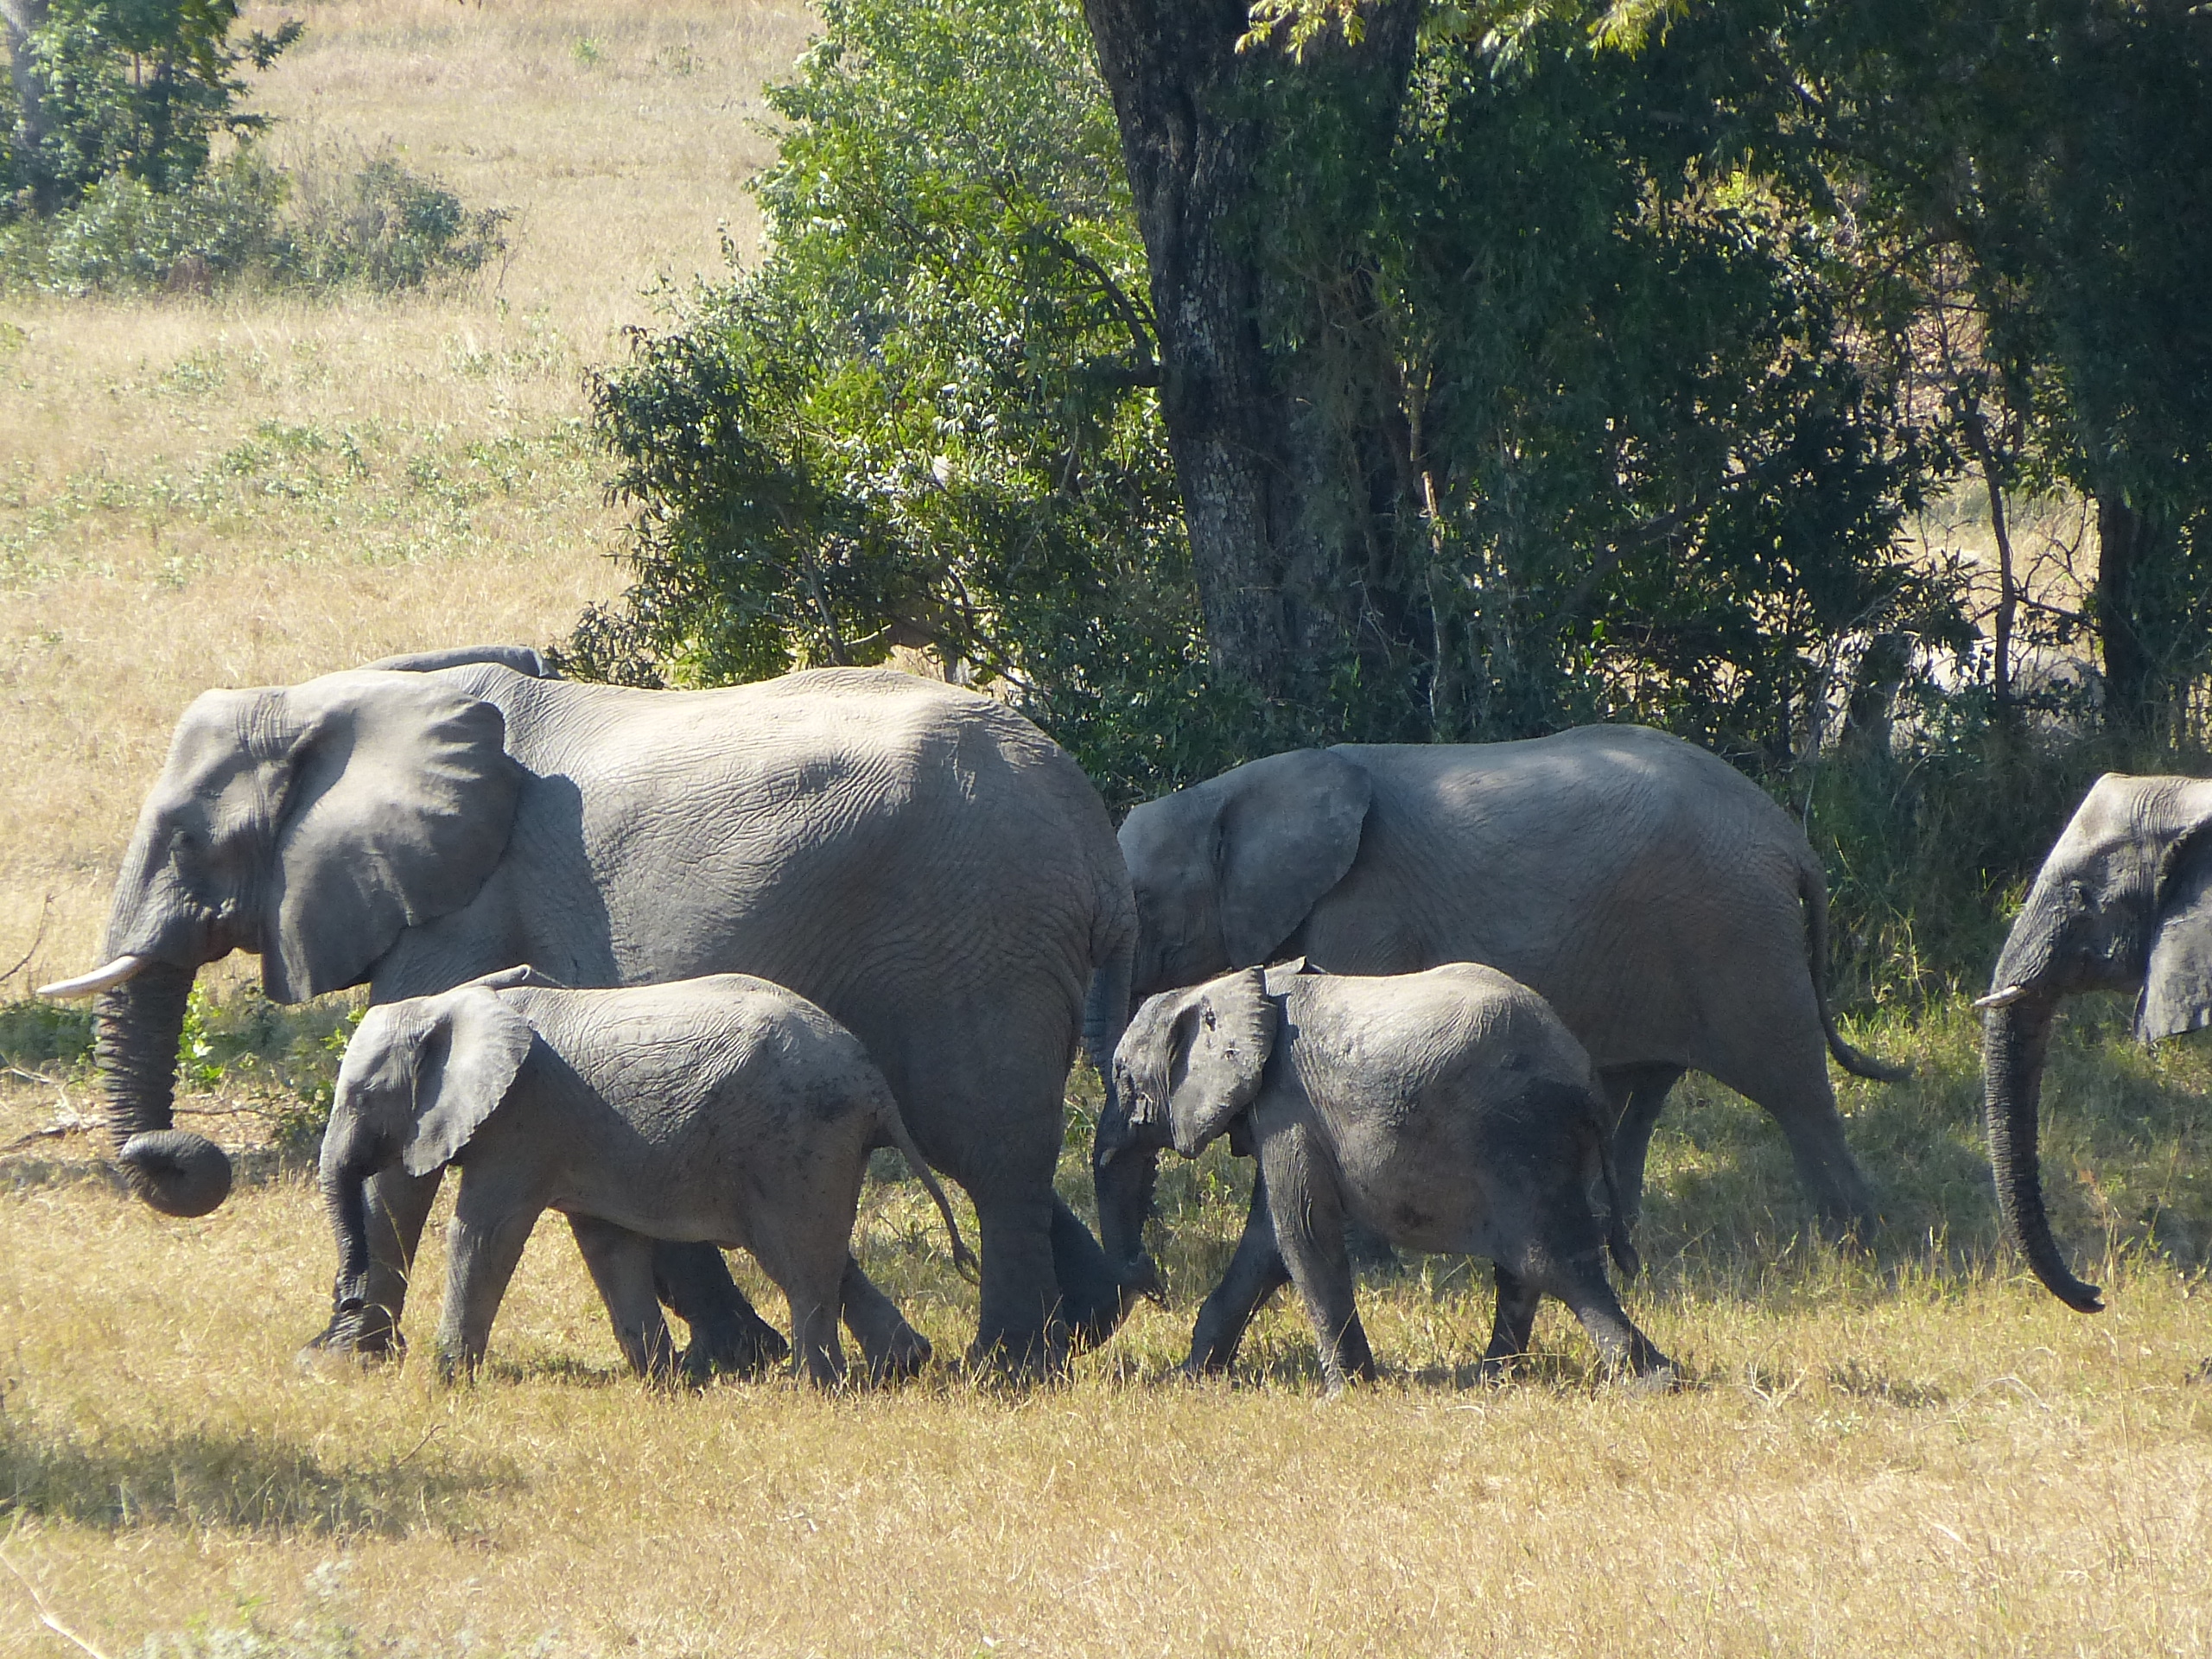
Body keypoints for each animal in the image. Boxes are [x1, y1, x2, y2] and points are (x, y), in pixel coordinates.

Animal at [320, 969, 975, 1384]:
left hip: (798, 1133)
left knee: (796, 1261)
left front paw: (446, 1382)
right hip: (814, 1140)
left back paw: (813, 1387)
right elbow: (607, 1244)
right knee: (826, 1255)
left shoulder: (522, 1122)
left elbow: (484, 1234)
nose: (347, 1295)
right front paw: (662, 1382)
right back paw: (903, 1365)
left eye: (361, 1096)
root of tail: (873, 1081)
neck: (447, 1004)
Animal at [1111, 961, 1672, 1391]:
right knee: (1525, 1270)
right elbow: (1268, 1242)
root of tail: (1587, 1077)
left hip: (1522, 1137)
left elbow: (1302, 1234)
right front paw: (1188, 1381)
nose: (1152, 1286)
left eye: (1122, 1077)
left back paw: (1651, 1384)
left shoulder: (1288, 1104)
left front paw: (1347, 1393)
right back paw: (1492, 1380)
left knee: (1553, 1261)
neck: (1244, 983)